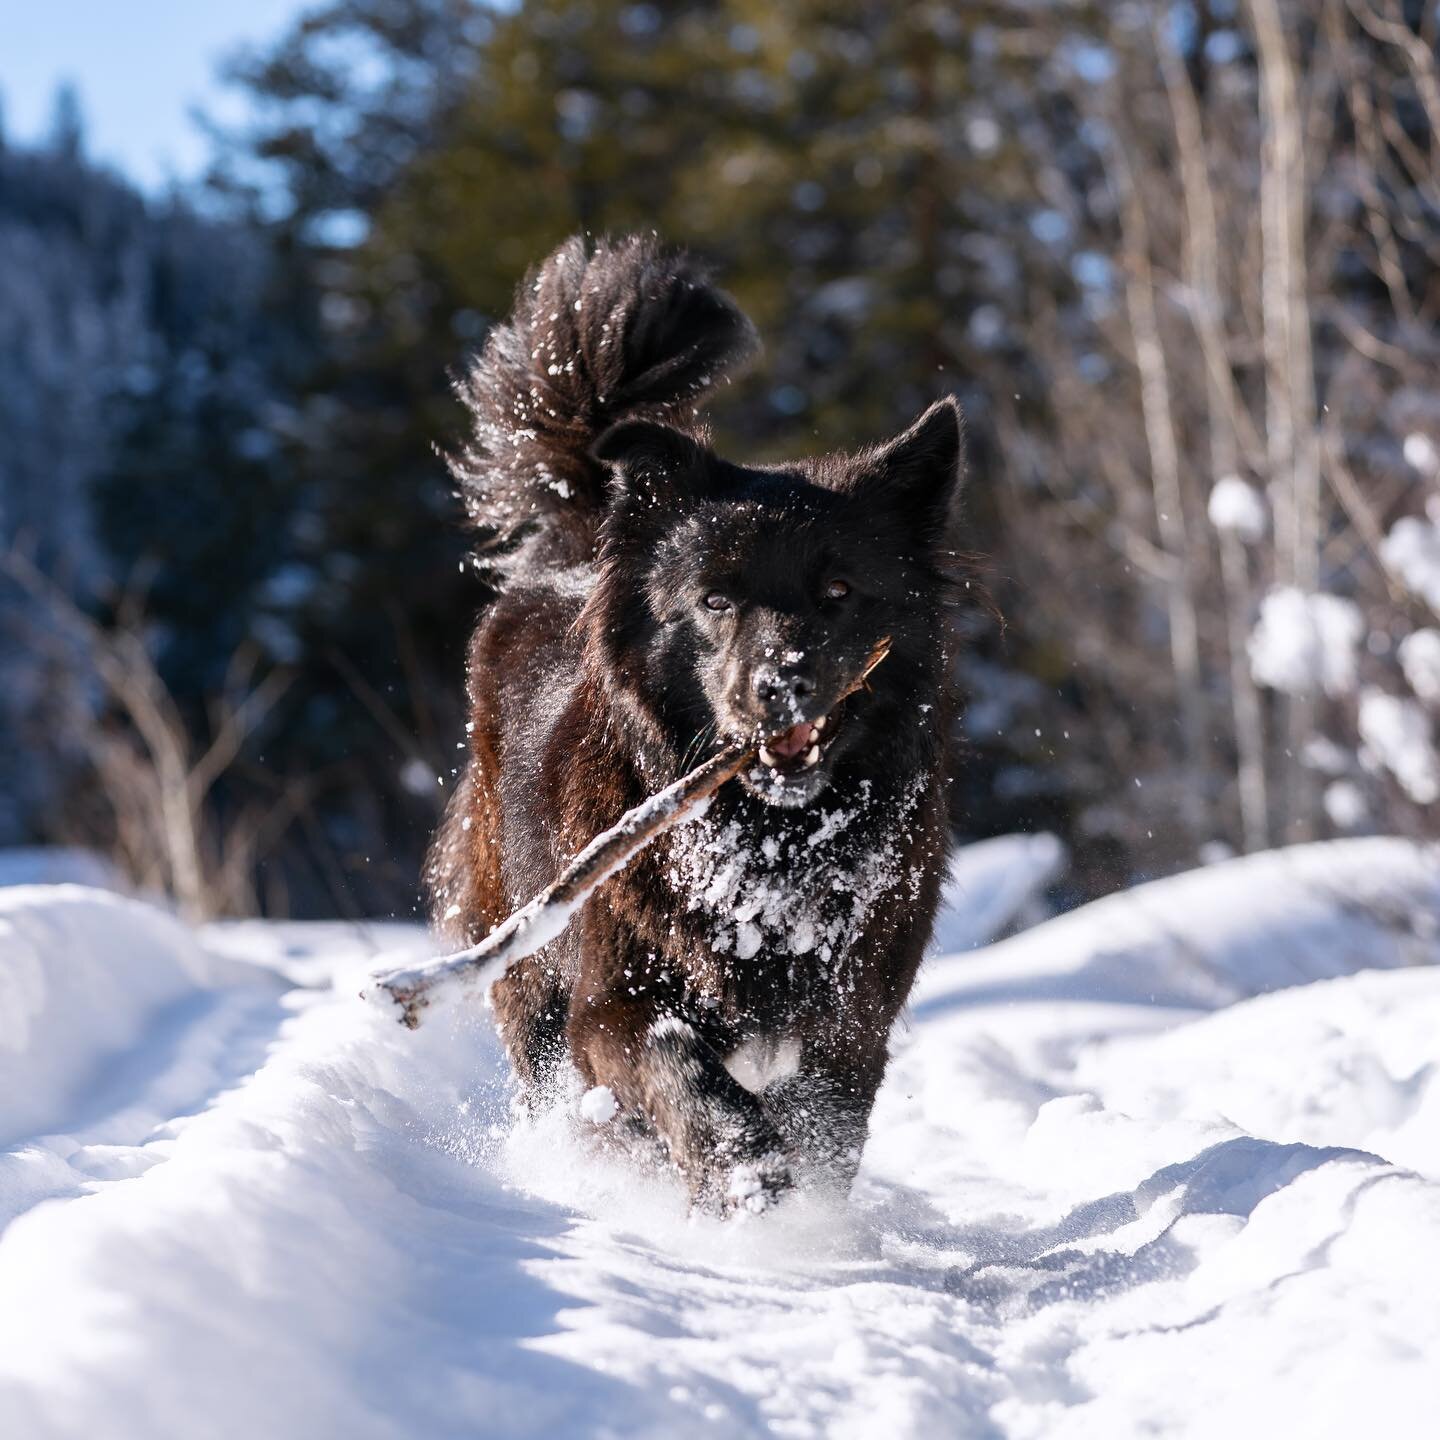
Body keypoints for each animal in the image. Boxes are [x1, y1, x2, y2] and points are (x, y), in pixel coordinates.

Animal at [426, 236, 967, 1215]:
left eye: (839, 592)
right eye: (715, 600)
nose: (778, 684)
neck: (768, 846)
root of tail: (583, 531)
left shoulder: (855, 1018)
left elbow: (825, 1124)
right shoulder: (613, 1001)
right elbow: (679, 1067)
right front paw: (745, 1178)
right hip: (526, 964)